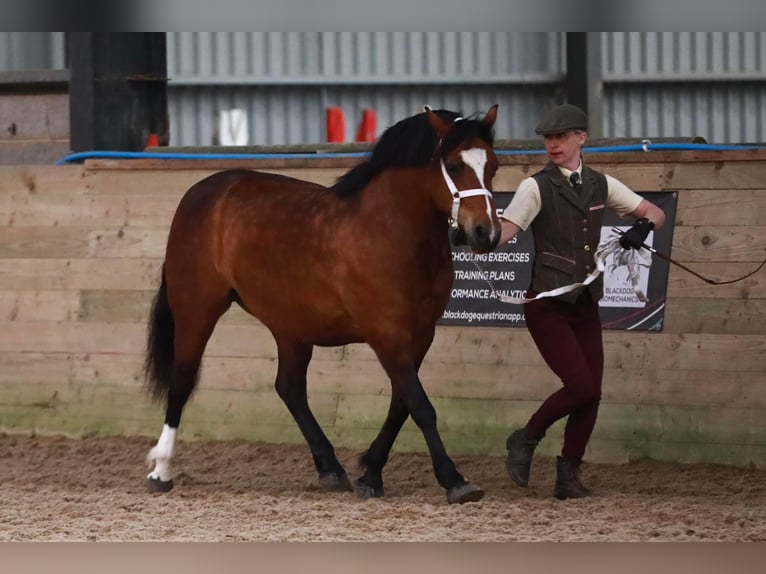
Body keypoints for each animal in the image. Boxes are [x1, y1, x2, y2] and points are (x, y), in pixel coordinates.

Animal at [144, 103, 504, 504]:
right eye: (454, 166)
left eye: (493, 165)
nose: (485, 234)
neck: (389, 231)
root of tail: (202, 192)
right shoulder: (386, 333)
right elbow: (421, 406)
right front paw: (455, 479)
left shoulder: (421, 334)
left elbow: (401, 403)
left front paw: (371, 473)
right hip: (197, 308)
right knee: (182, 379)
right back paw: (161, 470)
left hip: (290, 326)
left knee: (289, 388)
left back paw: (330, 468)